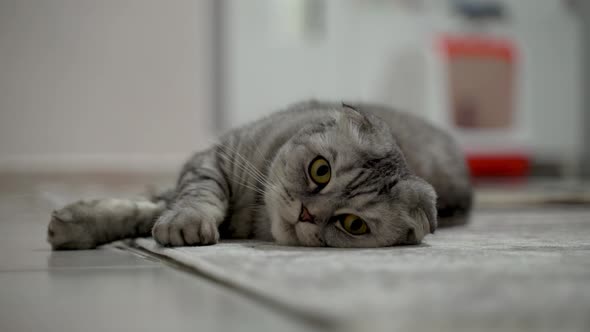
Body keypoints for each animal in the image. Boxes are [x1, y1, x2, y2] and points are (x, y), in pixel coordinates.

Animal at [46, 100, 474, 249]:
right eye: (321, 170)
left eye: (353, 224)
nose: (307, 214)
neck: (252, 219)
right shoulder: (213, 159)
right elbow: (187, 197)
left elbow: (151, 210)